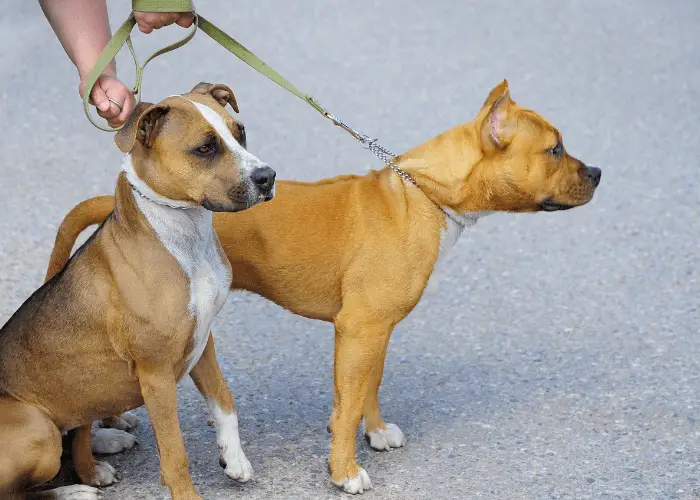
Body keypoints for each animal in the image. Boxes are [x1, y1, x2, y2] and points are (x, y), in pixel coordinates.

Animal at [0, 83, 274, 500]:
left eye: (239, 133)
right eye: (205, 148)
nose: (268, 177)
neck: (184, 237)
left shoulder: (202, 341)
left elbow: (224, 402)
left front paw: (234, 458)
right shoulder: (156, 373)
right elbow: (175, 454)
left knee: (78, 431)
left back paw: (103, 444)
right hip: (37, 427)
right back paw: (76, 488)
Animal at [45, 80, 600, 494]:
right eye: (554, 149)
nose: (597, 171)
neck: (421, 195)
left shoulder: (373, 330)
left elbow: (365, 386)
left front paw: (372, 432)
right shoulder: (360, 328)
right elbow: (351, 398)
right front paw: (345, 471)